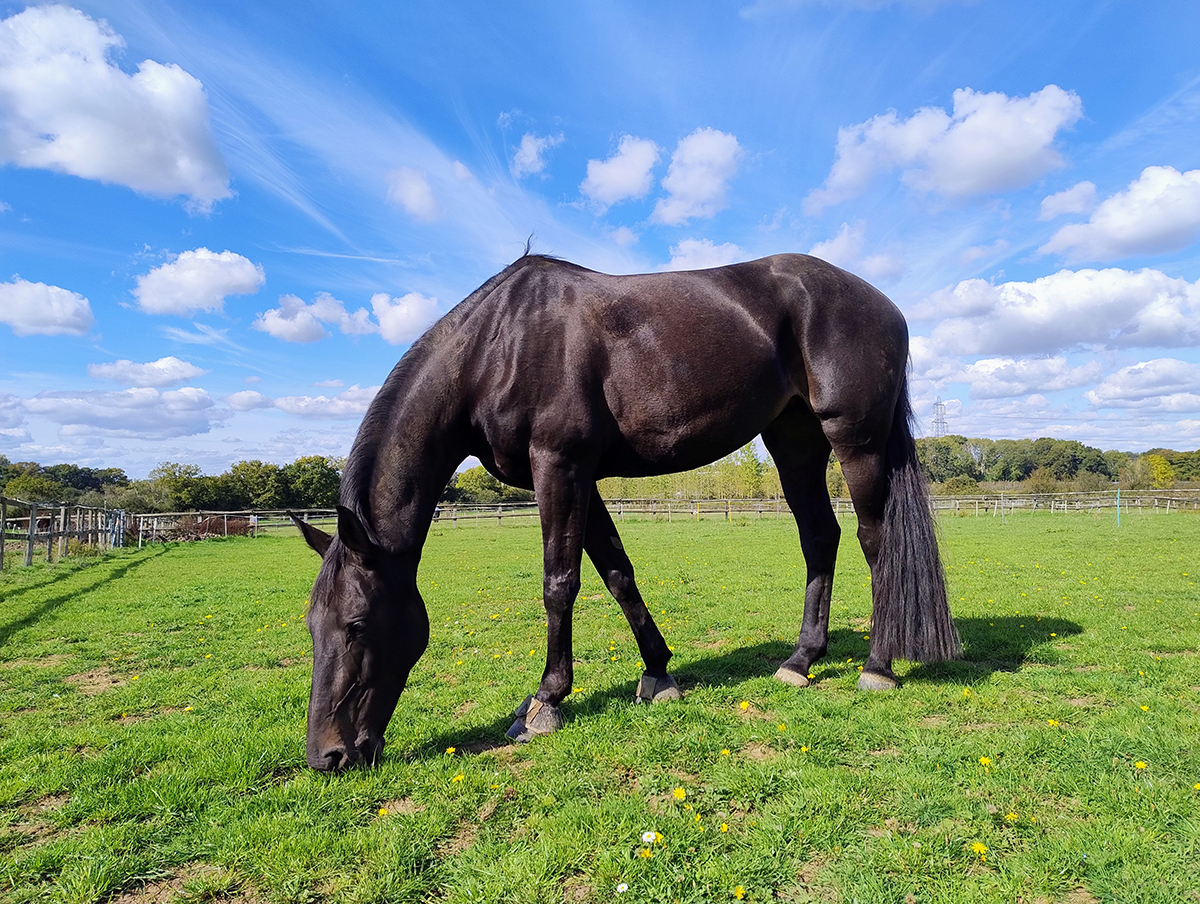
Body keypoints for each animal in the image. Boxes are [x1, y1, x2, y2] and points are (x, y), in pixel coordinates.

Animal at [291, 252, 960, 771]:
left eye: (356, 624)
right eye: (311, 625)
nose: (328, 756)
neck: (495, 347)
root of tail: (883, 304)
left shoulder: (559, 466)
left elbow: (559, 583)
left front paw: (545, 703)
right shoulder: (579, 478)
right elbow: (616, 573)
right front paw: (659, 674)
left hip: (856, 440)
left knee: (876, 540)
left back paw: (877, 665)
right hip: (793, 440)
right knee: (819, 537)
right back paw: (800, 660)